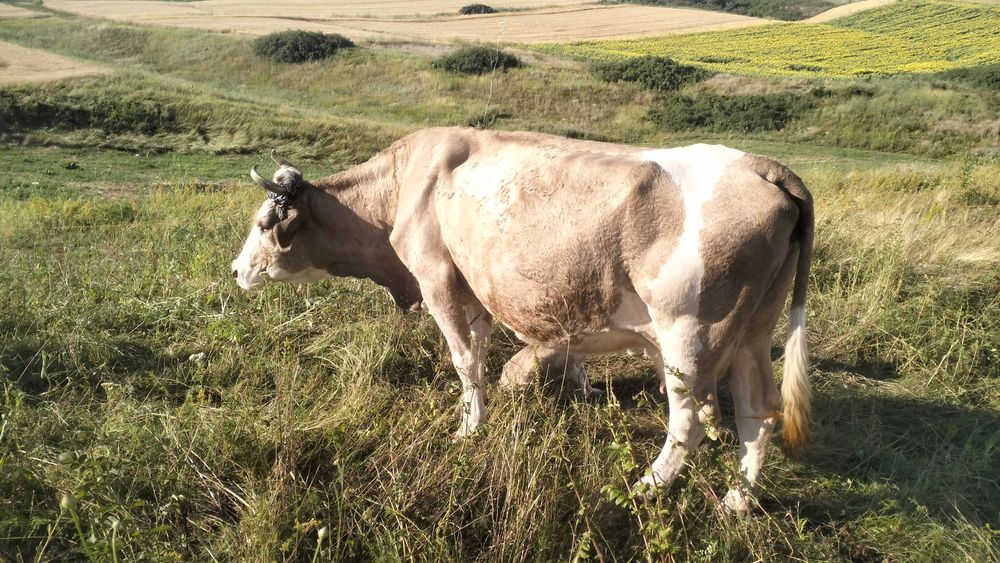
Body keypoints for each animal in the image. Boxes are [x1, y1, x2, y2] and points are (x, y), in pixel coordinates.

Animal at [231, 127, 813, 511]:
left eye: (263, 223)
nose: (236, 270)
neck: (405, 186)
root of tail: (764, 167)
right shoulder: (478, 291)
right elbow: (490, 353)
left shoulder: (437, 279)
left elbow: (465, 362)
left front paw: (469, 429)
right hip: (753, 332)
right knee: (759, 412)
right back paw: (737, 501)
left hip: (688, 334)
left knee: (689, 420)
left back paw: (645, 487)